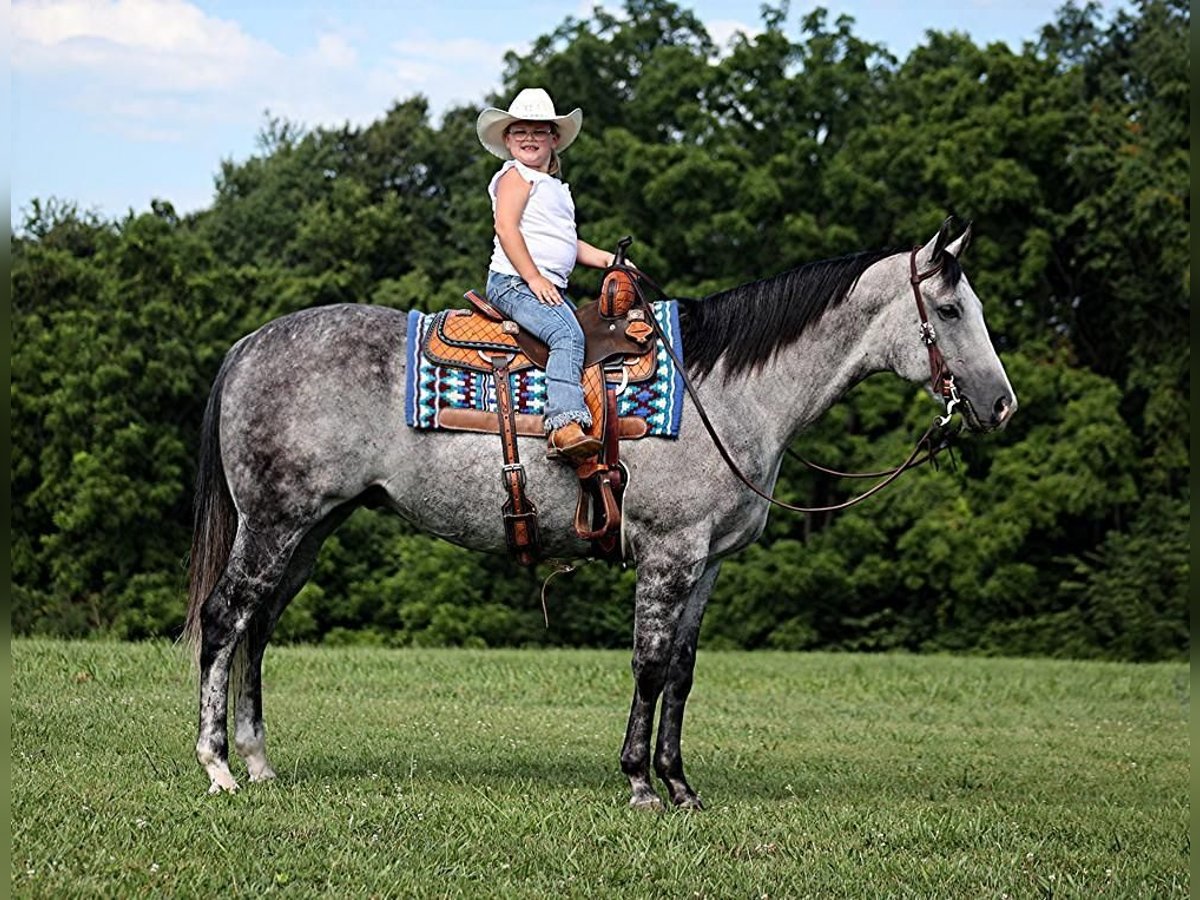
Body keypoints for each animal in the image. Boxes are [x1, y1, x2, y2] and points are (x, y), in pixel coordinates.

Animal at [184, 224, 1012, 811]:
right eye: (948, 309)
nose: (1001, 404)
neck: (727, 391)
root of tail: (251, 343)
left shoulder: (708, 562)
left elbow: (682, 671)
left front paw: (680, 785)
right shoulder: (669, 555)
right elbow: (649, 664)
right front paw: (641, 784)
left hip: (308, 532)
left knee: (259, 626)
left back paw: (258, 763)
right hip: (274, 525)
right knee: (225, 618)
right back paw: (218, 766)